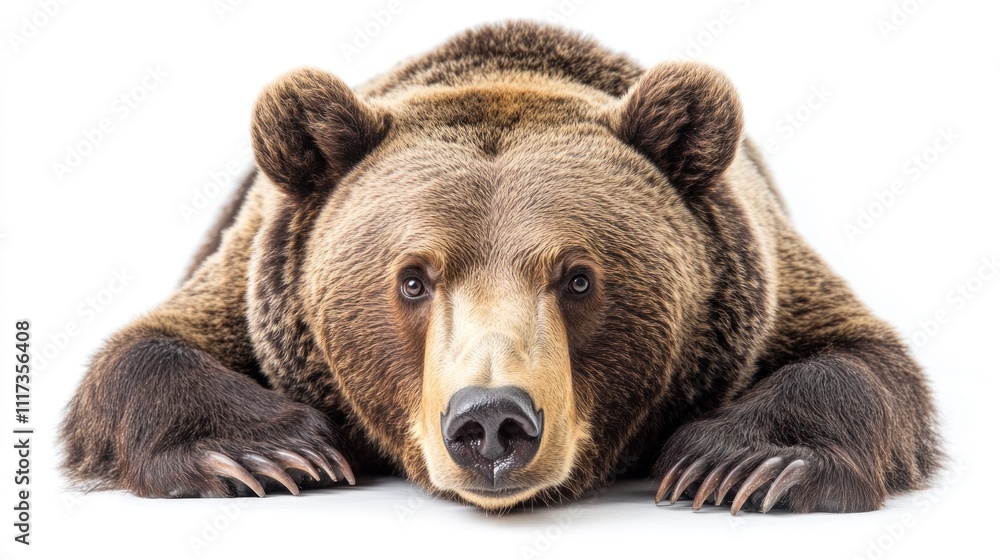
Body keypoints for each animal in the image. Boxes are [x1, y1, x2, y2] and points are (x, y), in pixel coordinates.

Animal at [60, 21, 942, 514]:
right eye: (413, 278)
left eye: (578, 277)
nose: (490, 421)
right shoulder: (254, 277)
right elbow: (146, 351)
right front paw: (268, 452)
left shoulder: (758, 280)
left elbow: (860, 359)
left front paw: (744, 462)